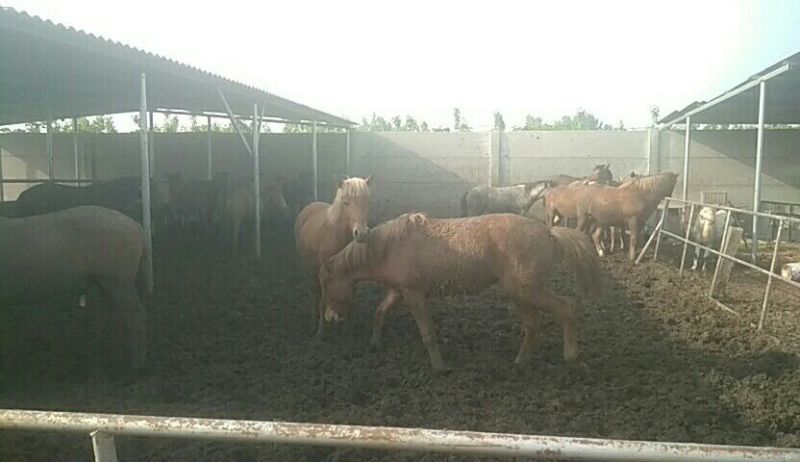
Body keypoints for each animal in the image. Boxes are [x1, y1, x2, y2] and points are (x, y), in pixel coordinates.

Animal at [295, 176, 372, 336]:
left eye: (367, 202)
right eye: (346, 202)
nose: (361, 234)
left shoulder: (353, 274)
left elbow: (350, 298)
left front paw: (347, 330)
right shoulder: (324, 273)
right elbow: (324, 298)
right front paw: (320, 331)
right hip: (308, 267)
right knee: (313, 291)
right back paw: (314, 319)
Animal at [319, 212, 601, 371]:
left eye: (327, 284)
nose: (330, 317)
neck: (391, 246)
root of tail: (547, 231)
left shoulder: (415, 295)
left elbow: (428, 333)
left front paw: (440, 367)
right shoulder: (400, 291)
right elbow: (380, 311)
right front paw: (375, 342)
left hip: (527, 291)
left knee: (567, 308)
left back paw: (571, 355)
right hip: (521, 293)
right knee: (533, 326)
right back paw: (521, 362)